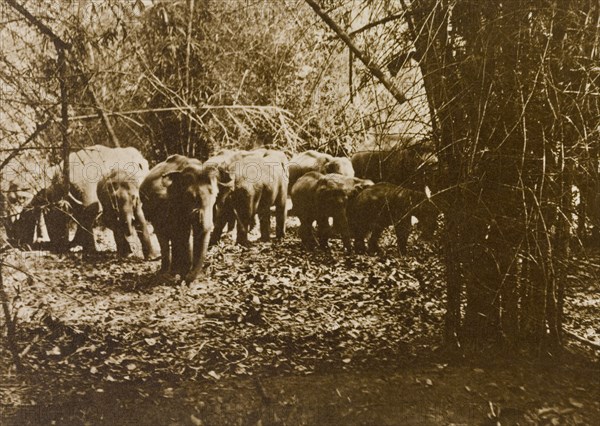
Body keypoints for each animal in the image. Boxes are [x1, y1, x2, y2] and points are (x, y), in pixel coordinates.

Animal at [141, 154, 223, 282]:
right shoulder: (167, 203)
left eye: (216, 195)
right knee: (164, 235)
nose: (188, 279)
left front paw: (184, 274)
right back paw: (165, 273)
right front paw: (181, 274)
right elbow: (181, 232)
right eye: (191, 197)